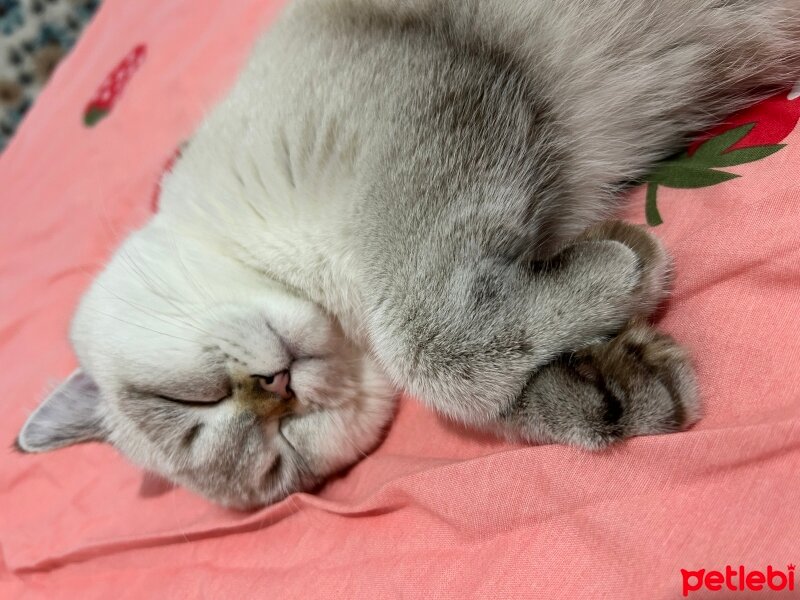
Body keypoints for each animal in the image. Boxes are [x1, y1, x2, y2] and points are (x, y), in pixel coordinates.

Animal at [14, 0, 800, 508]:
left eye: (186, 404)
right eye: (282, 457)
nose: (275, 389)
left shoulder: (421, 113)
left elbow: (423, 345)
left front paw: (626, 269)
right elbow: (491, 375)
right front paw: (615, 383)